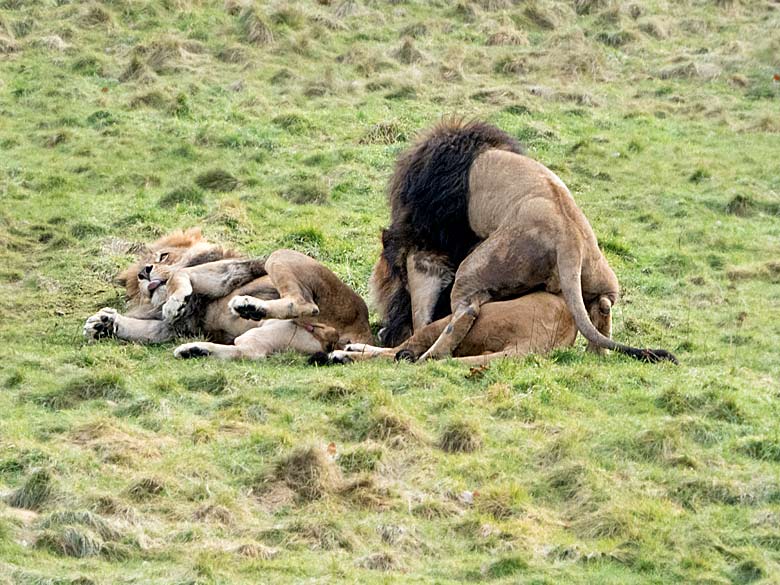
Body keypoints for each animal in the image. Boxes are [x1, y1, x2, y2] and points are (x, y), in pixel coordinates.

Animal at [372, 118, 676, 362]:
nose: (386, 330)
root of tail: (569, 240)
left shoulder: (429, 246)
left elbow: (421, 303)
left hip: (480, 265)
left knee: (465, 311)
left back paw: (428, 355)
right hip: (599, 272)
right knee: (603, 303)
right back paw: (595, 353)